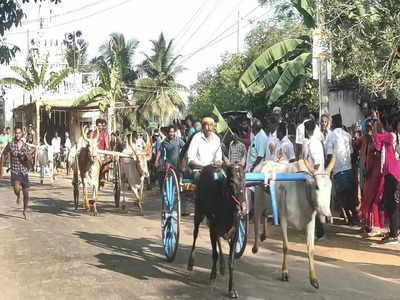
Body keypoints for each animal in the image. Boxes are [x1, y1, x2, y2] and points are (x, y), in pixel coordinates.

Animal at [188, 163, 247, 298]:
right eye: (231, 182)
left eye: (245, 182)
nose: (243, 209)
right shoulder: (213, 229)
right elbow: (214, 254)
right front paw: (212, 277)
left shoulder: (235, 233)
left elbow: (232, 261)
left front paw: (232, 289)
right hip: (198, 213)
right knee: (195, 234)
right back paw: (191, 262)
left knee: (219, 240)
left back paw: (222, 266)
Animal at [253, 157, 334, 290]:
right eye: (316, 186)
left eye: (330, 187)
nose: (327, 215)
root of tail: (263, 163)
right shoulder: (283, 218)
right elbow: (286, 247)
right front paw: (284, 272)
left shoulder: (310, 222)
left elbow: (311, 249)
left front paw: (313, 279)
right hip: (258, 201)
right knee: (256, 220)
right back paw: (255, 247)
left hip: (268, 204)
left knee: (264, 215)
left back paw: (264, 235)